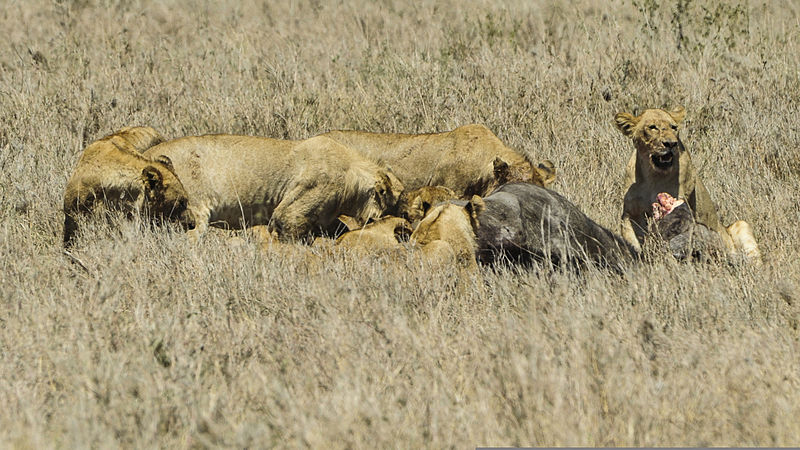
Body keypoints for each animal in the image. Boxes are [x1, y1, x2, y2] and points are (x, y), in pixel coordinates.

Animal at [612, 107, 764, 264]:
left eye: (674, 127)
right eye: (652, 127)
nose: (671, 144)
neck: (653, 176)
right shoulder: (630, 215)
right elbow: (632, 242)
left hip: (741, 225)